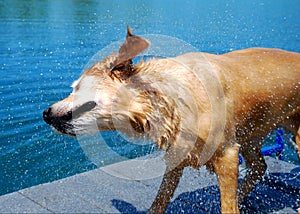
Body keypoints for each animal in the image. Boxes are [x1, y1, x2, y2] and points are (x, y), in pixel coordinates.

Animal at [42, 27, 300, 213]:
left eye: (76, 87)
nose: (45, 114)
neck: (168, 99)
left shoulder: (226, 153)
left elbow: (227, 206)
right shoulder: (179, 152)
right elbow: (160, 200)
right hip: (250, 132)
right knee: (259, 166)